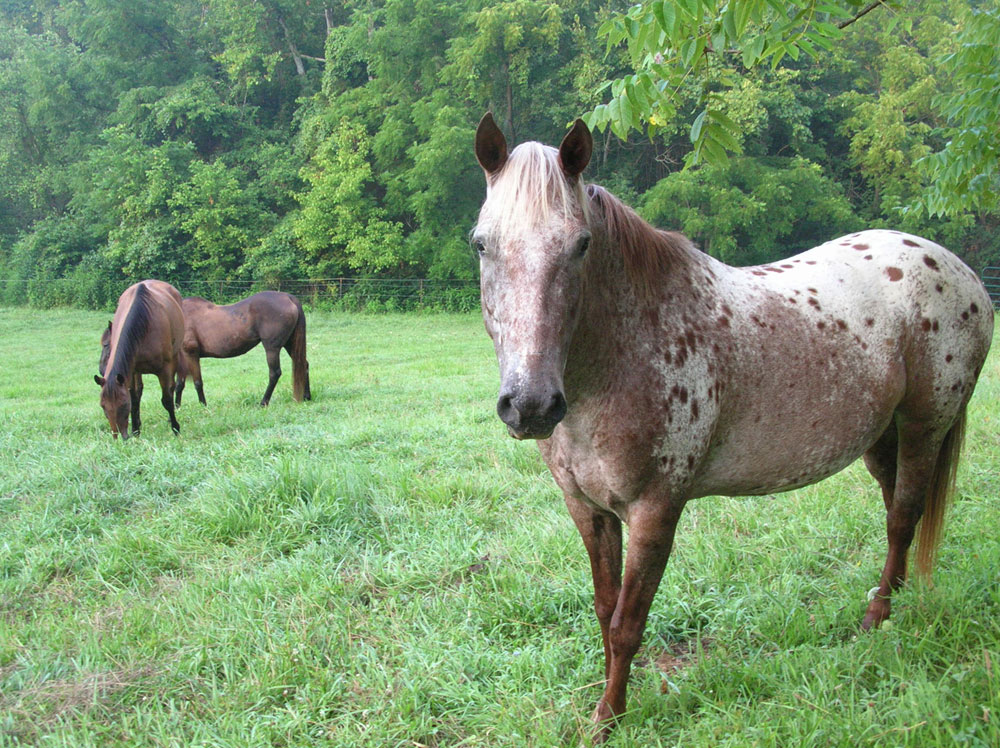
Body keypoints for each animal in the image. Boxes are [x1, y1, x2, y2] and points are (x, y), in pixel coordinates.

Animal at [94, 280, 185, 438]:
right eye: (103, 406)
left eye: (123, 405)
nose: (119, 437)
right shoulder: (131, 370)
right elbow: (135, 398)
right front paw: (136, 429)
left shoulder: (164, 369)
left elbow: (167, 399)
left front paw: (175, 428)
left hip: (175, 356)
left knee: (173, 387)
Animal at [174, 292, 310, 410]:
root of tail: (288, 297)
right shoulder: (182, 358)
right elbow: (179, 384)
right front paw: (177, 407)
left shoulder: (191, 354)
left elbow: (198, 383)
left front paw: (203, 406)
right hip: (290, 344)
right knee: (303, 364)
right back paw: (306, 396)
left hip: (272, 348)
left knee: (274, 373)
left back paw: (263, 402)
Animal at [472, 114, 996, 740]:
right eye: (481, 243)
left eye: (581, 245)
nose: (530, 405)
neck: (630, 348)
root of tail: (963, 273)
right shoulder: (589, 509)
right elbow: (604, 609)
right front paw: (607, 705)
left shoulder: (656, 511)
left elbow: (627, 623)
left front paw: (609, 718)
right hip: (880, 437)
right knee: (899, 509)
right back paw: (886, 600)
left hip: (924, 427)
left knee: (902, 517)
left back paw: (876, 617)